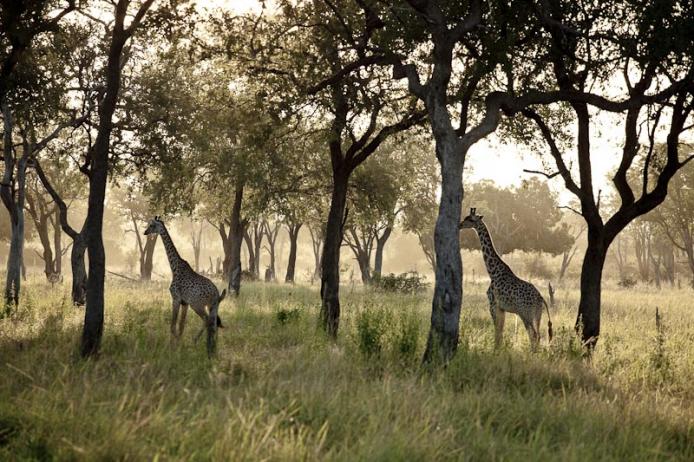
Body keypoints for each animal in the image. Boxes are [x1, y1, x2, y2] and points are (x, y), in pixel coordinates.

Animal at [145, 217, 228, 358]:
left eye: (151, 225)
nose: (145, 232)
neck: (174, 267)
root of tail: (216, 294)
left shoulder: (176, 298)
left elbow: (173, 326)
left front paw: (172, 347)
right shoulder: (185, 303)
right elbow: (181, 326)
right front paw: (179, 346)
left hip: (198, 305)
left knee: (207, 320)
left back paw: (198, 342)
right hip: (213, 306)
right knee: (214, 324)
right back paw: (212, 348)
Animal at [462, 208, 556, 348]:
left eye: (470, 219)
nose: (459, 225)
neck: (493, 272)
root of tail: (541, 298)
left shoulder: (493, 304)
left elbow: (497, 332)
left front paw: (496, 350)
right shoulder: (502, 308)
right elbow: (500, 331)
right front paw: (499, 349)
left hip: (525, 313)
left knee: (533, 335)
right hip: (537, 315)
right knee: (538, 335)